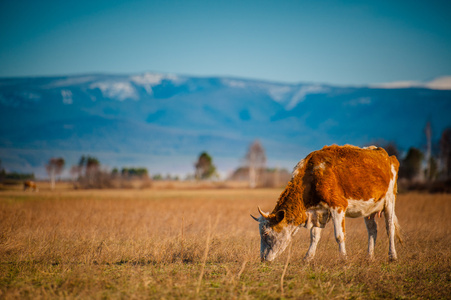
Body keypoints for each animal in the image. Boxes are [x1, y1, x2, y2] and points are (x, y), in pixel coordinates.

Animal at [252, 144, 404, 262]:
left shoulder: (338, 205)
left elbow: (339, 235)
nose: (262, 259)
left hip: (390, 200)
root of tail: (386, 154)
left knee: (390, 228)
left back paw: (392, 256)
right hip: (369, 209)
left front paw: (343, 259)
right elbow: (314, 236)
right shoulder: (319, 212)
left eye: (265, 234)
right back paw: (369, 257)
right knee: (373, 230)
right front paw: (307, 258)